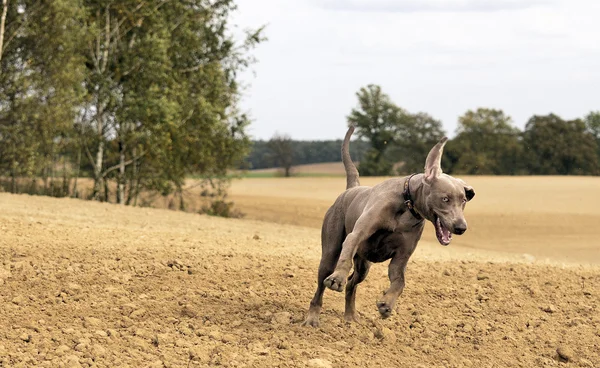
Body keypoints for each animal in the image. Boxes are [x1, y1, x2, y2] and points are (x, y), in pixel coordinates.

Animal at [302, 125, 476, 326]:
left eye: (463, 201)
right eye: (445, 199)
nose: (461, 227)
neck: (407, 205)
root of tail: (351, 189)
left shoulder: (401, 258)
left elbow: (400, 281)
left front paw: (386, 304)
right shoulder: (357, 235)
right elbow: (348, 252)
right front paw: (338, 278)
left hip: (364, 265)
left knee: (352, 284)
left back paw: (351, 317)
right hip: (330, 253)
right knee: (321, 286)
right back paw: (312, 318)